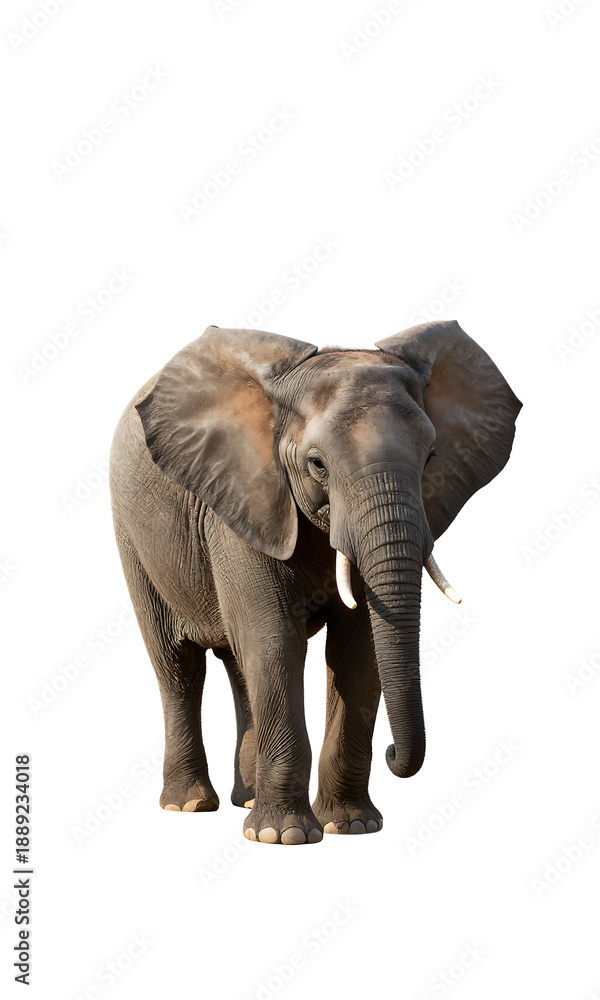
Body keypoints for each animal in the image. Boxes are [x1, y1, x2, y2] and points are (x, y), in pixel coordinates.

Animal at [109, 320, 521, 845]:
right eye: (317, 465)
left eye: (431, 458)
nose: (393, 754)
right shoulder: (244, 497)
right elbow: (275, 641)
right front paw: (282, 837)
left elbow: (358, 650)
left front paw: (353, 826)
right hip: (134, 539)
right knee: (178, 667)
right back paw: (190, 805)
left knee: (238, 665)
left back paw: (246, 800)